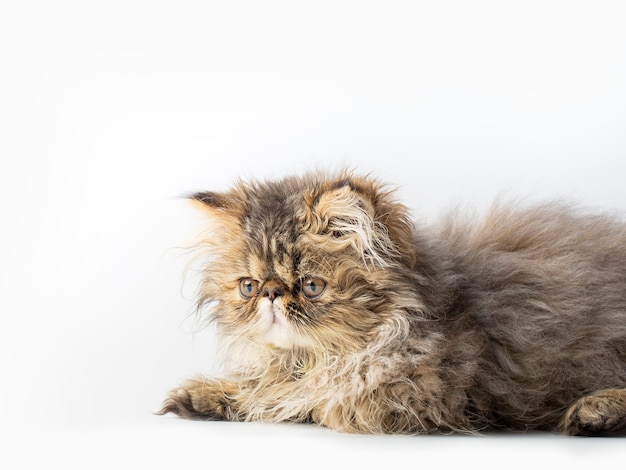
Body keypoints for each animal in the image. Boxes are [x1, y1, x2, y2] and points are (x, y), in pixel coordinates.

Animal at [158, 171, 624, 436]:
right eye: (249, 287)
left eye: (311, 286)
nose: (272, 294)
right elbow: (267, 383)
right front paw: (206, 396)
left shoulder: (417, 397)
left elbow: (308, 397)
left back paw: (595, 412)